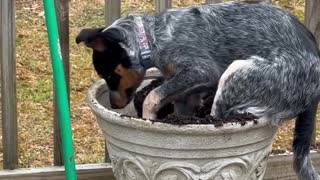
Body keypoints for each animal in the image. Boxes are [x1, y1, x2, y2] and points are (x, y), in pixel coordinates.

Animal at [77, 1, 320, 179]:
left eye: (109, 76)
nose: (115, 105)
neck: (151, 38)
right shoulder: (186, 91)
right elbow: (176, 104)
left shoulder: (202, 71)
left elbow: (152, 96)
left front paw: (148, 118)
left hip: (235, 73)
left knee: (218, 116)